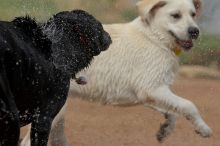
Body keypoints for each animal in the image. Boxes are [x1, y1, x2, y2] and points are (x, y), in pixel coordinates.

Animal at [21, 0, 212, 145]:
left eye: (193, 14)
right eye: (175, 15)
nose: (195, 31)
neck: (154, 37)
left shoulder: (147, 94)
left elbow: (174, 109)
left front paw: (165, 130)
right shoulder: (151, 88)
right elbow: (188, 105)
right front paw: (204, 129)